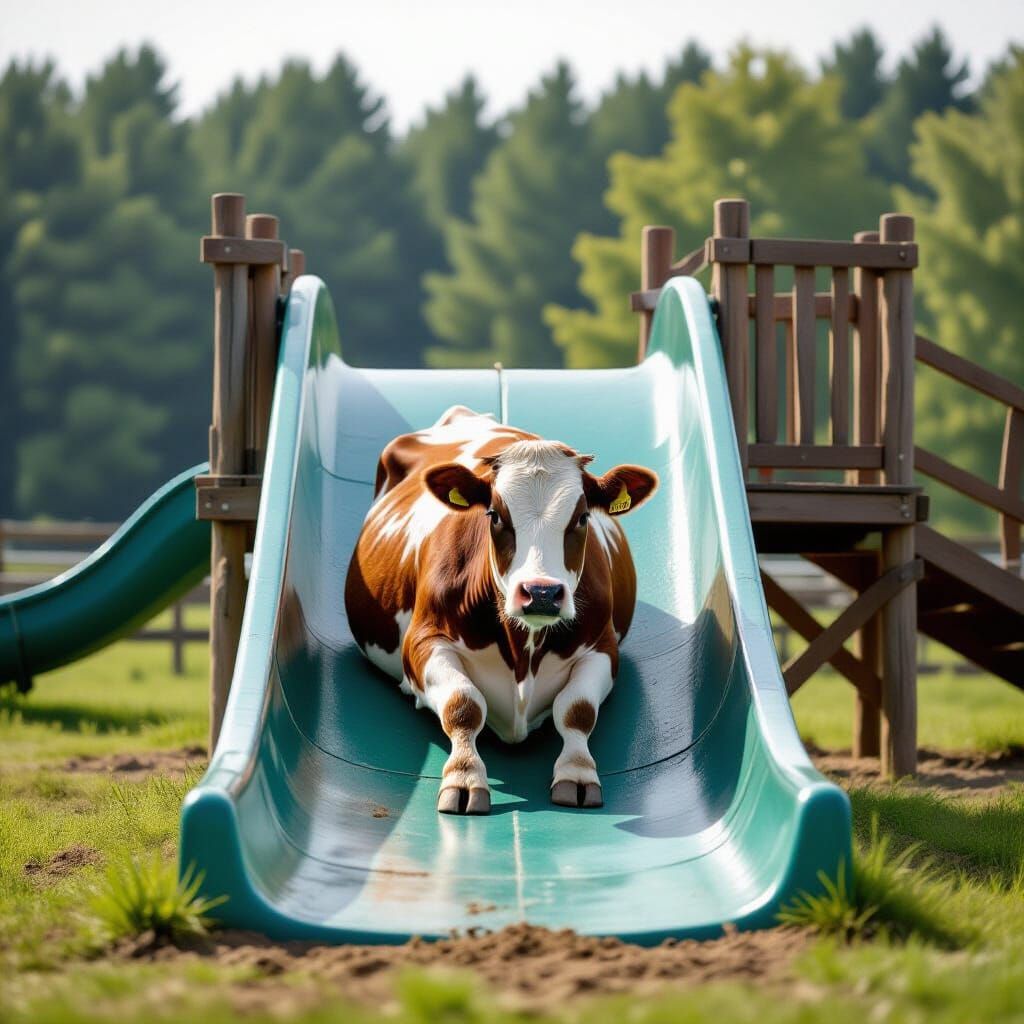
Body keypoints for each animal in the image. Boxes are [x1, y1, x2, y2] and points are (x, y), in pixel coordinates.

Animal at [344, 406, 658, 815]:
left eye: (582, 518)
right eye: (494, 515)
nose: (541, 593)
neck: (524, 649)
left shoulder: (602, 647)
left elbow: (577, 709)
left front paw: (577, 773)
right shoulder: (424, 640)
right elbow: (463, 704)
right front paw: (464, 776)